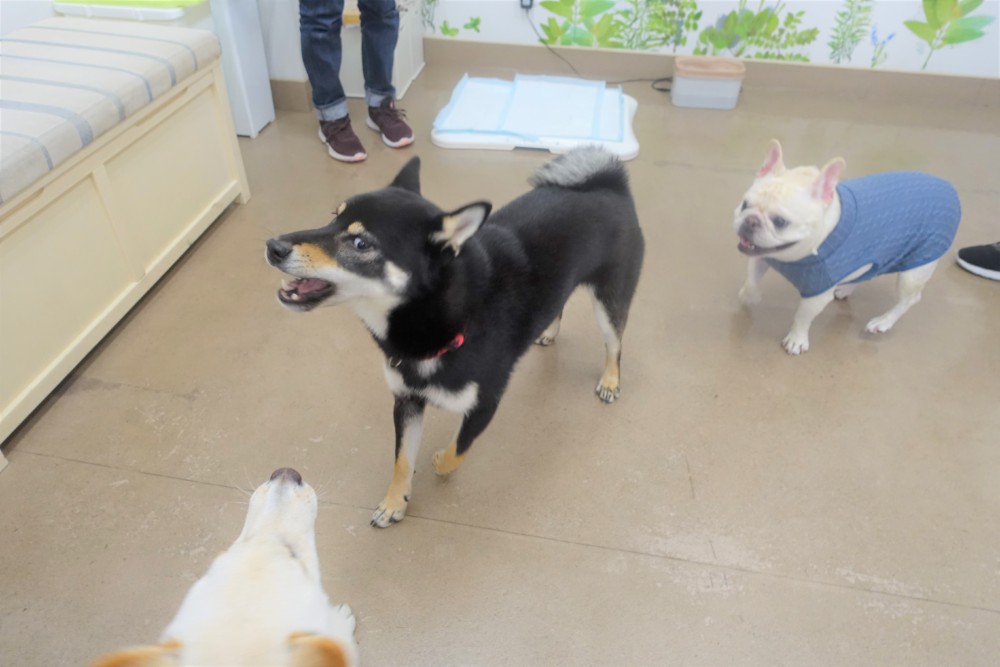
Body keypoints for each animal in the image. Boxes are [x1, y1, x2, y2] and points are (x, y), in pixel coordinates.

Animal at [265, 147, 645, 527]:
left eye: (360, 243)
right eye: (333, 217)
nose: (273, 245)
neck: (437, 322)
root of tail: (609, 186)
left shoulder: (485, 403)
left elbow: (457, 451)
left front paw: (436, 464)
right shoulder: (406, 400)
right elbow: (402, 461)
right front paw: (395, 503)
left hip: (608, 301)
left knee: (615, 343)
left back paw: (610, 380)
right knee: (561, 304)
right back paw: (549, 332)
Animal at [734, 139, 961, 355]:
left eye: (780, 221)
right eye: (744, 205)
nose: (750, 221)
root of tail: (950, 189)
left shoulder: (816, 296)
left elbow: (802, 317)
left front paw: (796, 339)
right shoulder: (761, 257)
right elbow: (752, 280)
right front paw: (750, 297)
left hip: (913, 272)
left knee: (910, 299)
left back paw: (883, 321)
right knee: (869, 271)